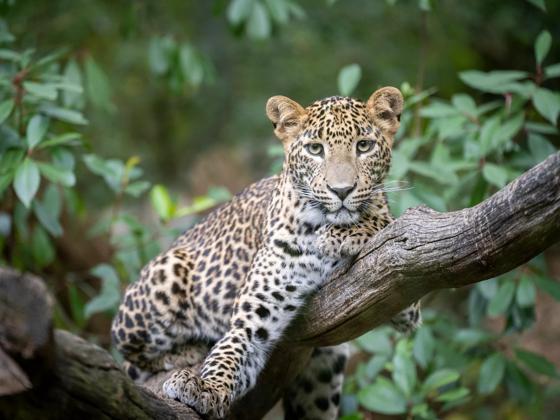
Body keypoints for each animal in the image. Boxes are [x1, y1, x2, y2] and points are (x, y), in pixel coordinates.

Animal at [112, 86, 420, 420]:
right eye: (315, 149)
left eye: (364, 146)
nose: (341, 190)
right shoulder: (252, 317)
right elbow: (230, 352)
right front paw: (205, 388)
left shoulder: (404, 296)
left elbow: (383, 222)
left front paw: (346, 233)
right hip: (165, 275)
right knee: (130, 354)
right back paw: (188, 350)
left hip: (324, 373)